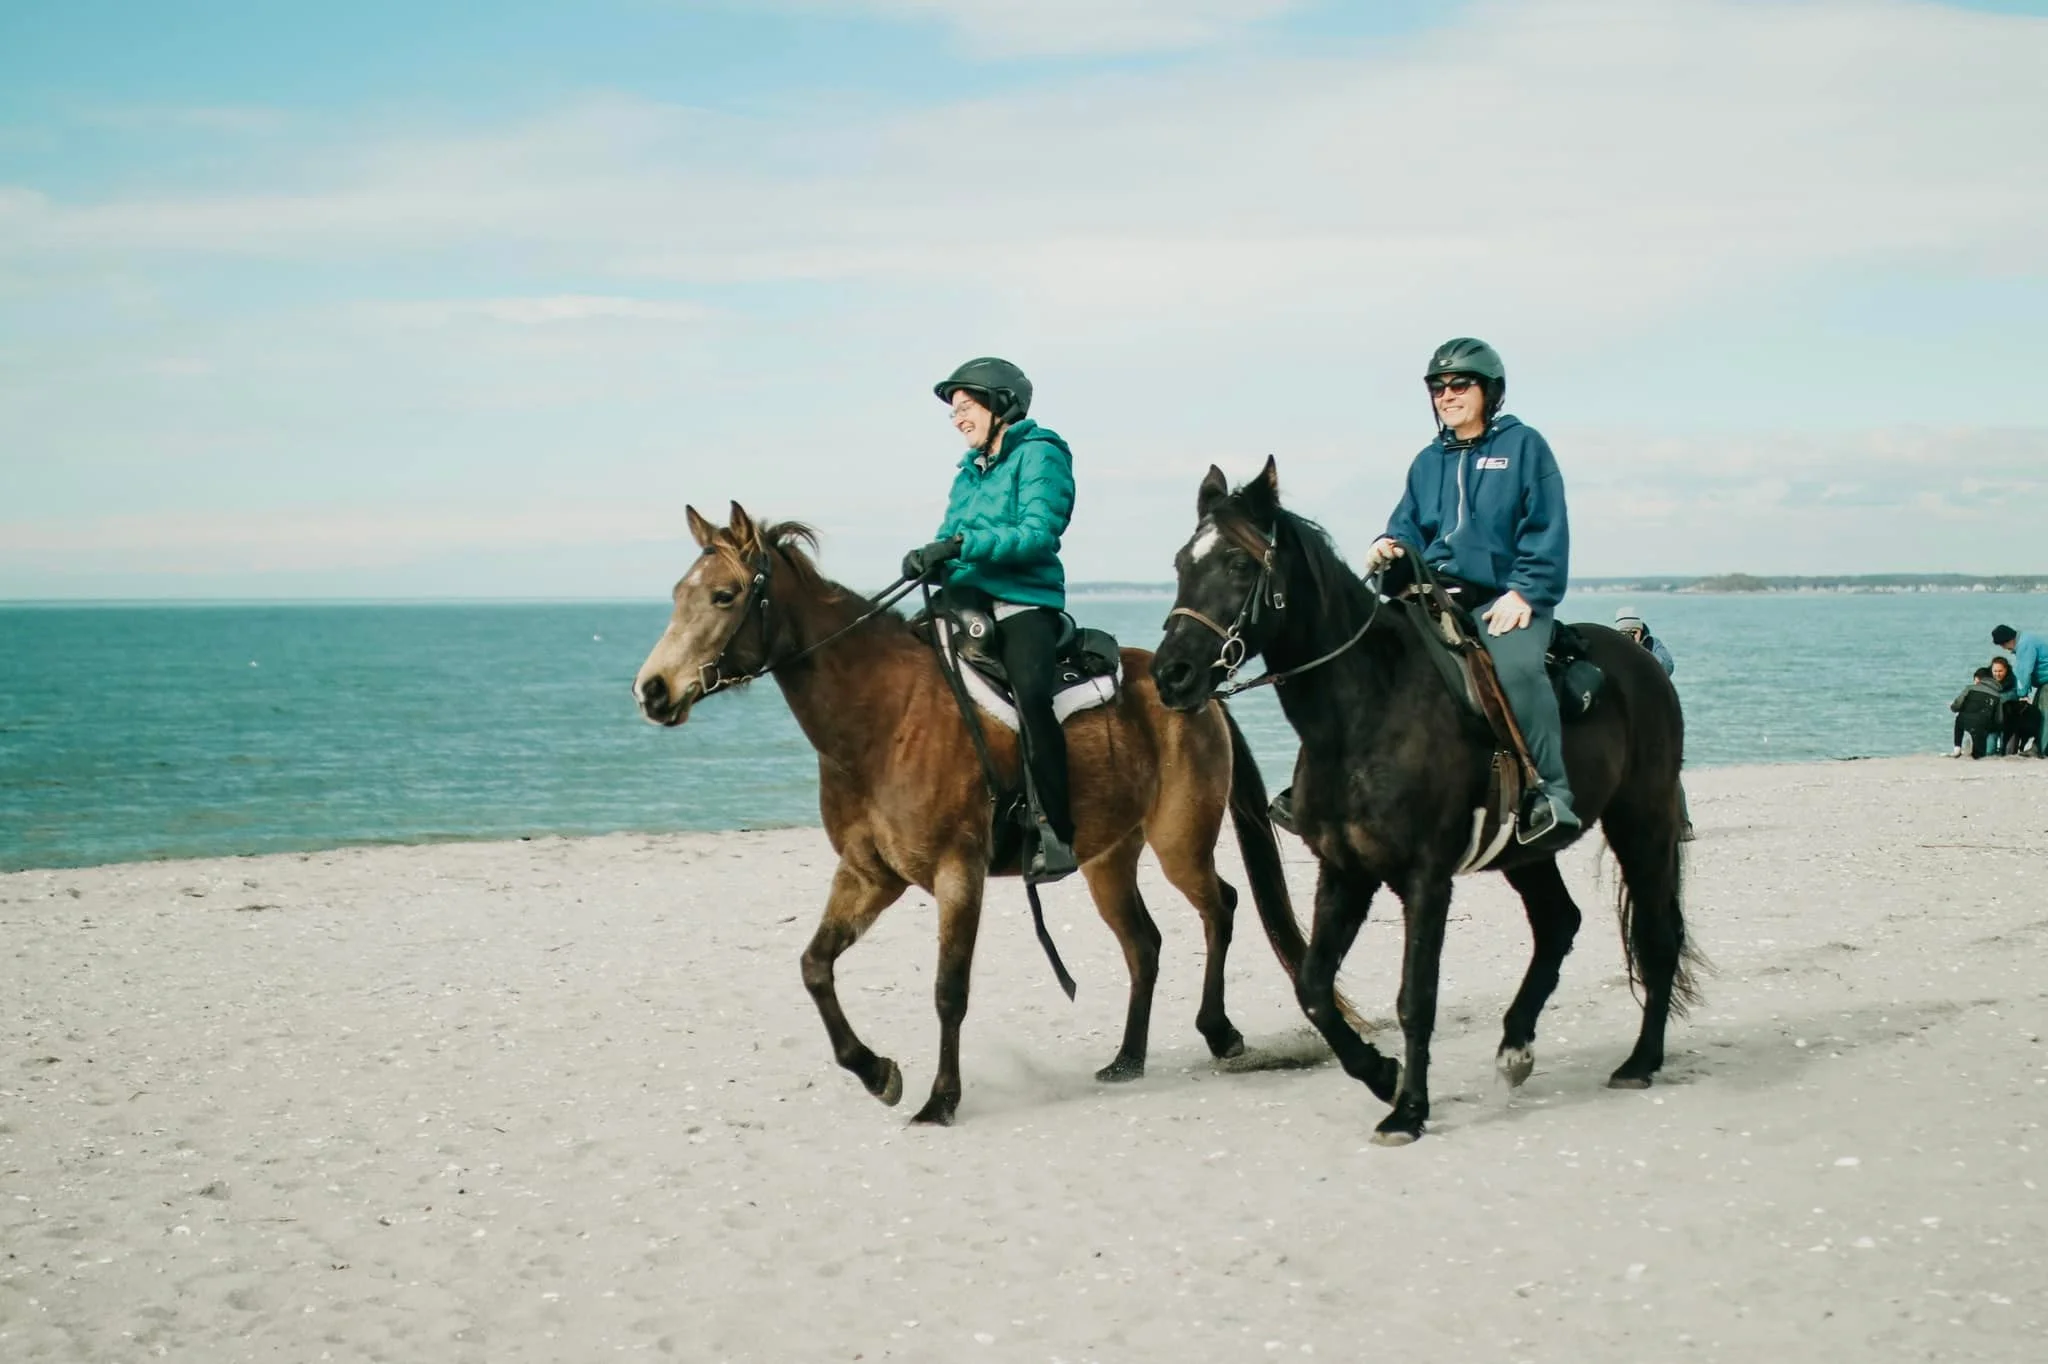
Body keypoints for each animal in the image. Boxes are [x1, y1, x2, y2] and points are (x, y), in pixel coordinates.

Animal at [633, 501, 1320, 1126]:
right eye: (678, 594)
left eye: (723, 596)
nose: (652, 690)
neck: (885, 717)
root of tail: (1193, 687)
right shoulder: (868, 875)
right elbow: (814, 966)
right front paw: (877, 1072)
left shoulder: (956, 873)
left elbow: (949, 990)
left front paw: (940, 1101)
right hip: (1107, 859)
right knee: (1143, 943)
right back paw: (1127, 1059)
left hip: (1179, 842)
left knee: (1220, 906)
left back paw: (1219, 1032)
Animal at [1149, 460, 1699, 1145]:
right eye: (1180, 562)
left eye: (1237, 563)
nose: (1170, 675)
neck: (1365, 712)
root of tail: (1641, 659)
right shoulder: (1345, 873)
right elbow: (1313, 986)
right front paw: (1381, 1074)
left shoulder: (1425, 878)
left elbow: (1416, 997)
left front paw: (1408, 1108)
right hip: (1529, 853)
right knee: (1558, 923)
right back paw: (1516, 1046)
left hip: (1642, 823)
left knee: (1656, 935)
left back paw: (1640, 1061)